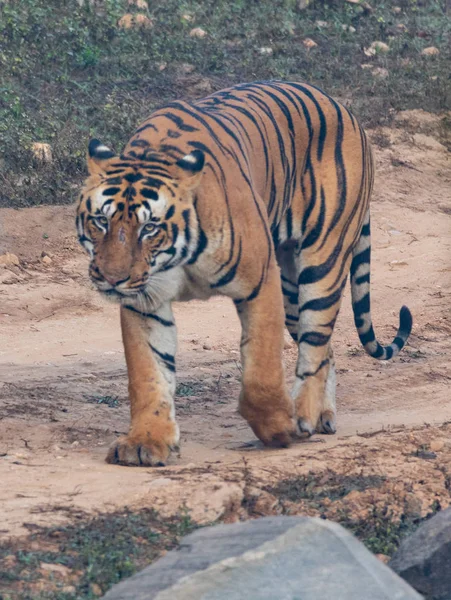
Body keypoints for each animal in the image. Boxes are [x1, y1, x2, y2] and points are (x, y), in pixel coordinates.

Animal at [76, 79, 412, 466]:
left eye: (149, 228)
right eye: (101, 221)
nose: (112, 278)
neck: (176, 257)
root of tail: (345, 109)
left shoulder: (259, 284)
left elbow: (260, 371)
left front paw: (278, 427)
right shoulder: (144, 302)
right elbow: (148, 373)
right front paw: (146, 440)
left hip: (321, 263)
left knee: (315, 346)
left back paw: (303, 416)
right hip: (291, 288)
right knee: (326, 350)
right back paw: (322, 416)